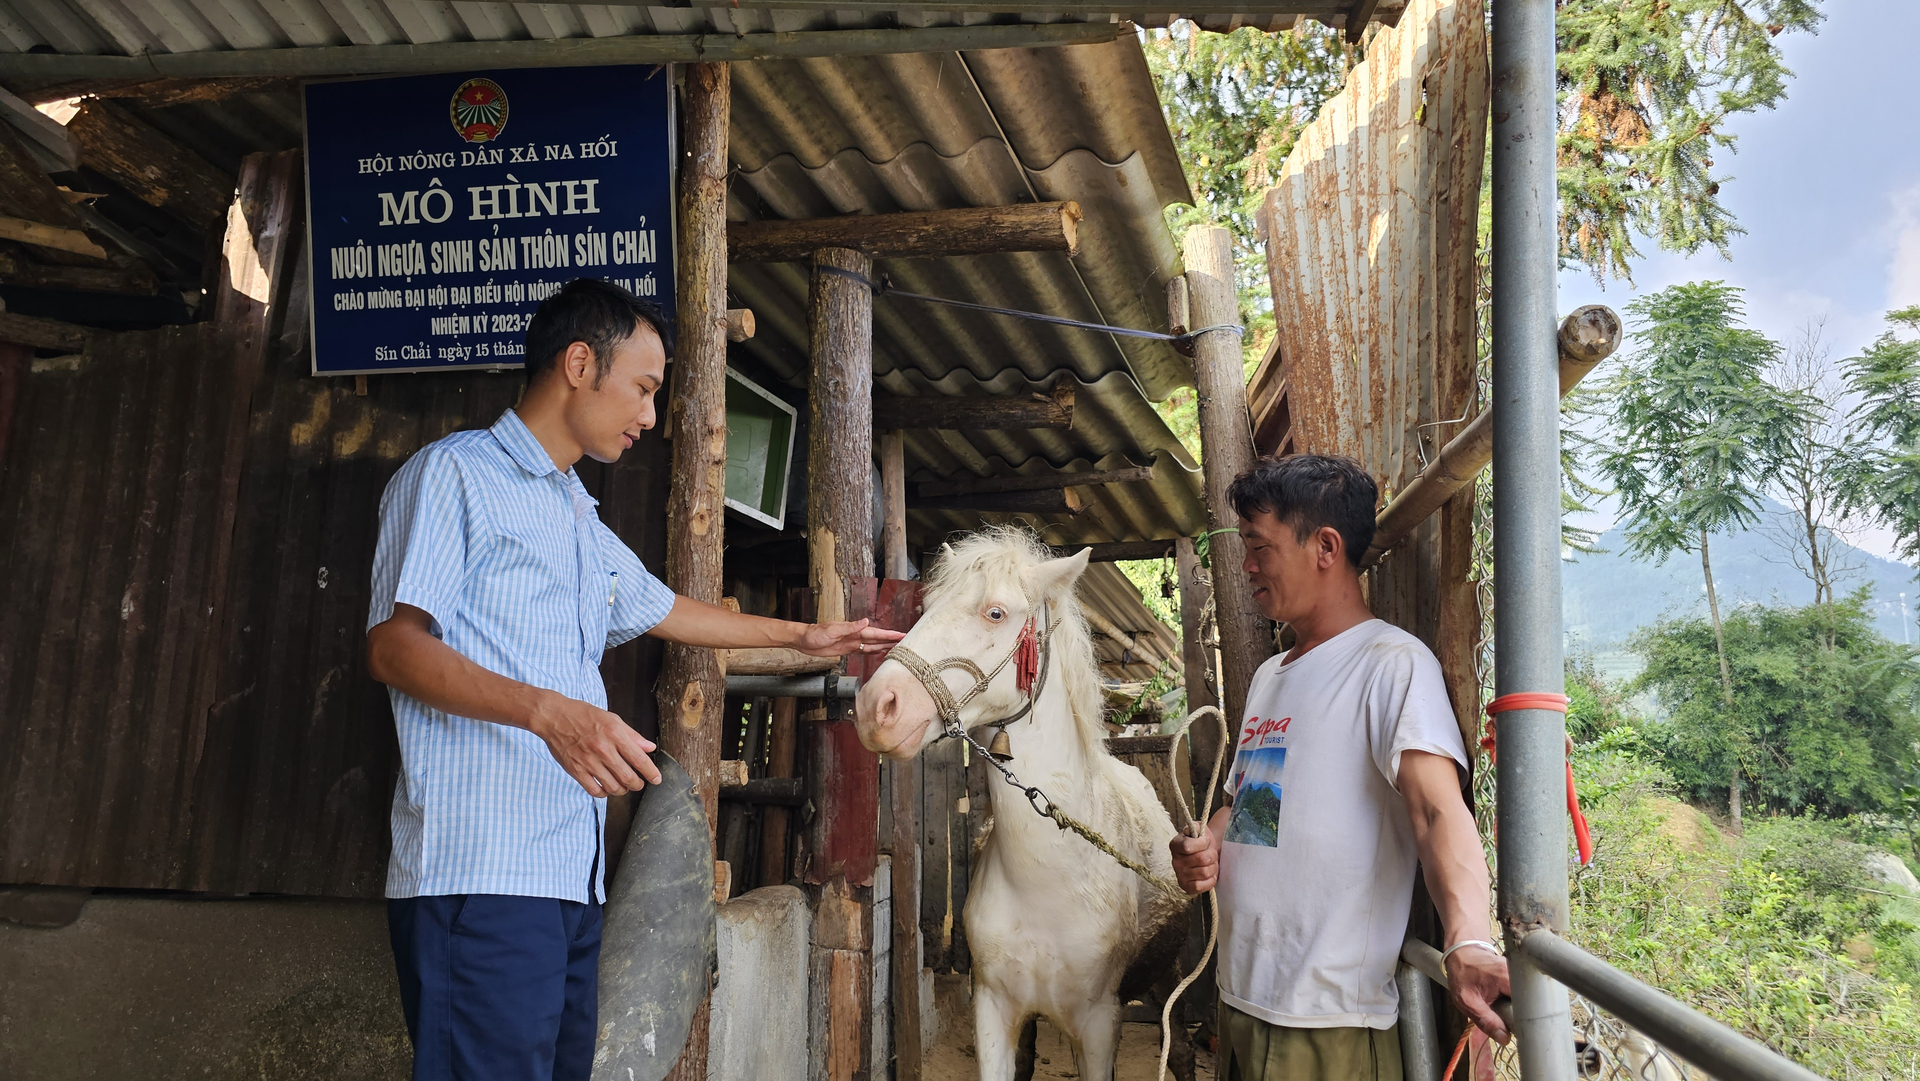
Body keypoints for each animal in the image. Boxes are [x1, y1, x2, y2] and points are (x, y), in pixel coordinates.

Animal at [852, 533, 1182, 1081]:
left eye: (996, 613)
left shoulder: (1100, 1025)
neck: (1052, 879)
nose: (876, 707)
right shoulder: (993, 1009)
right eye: (926, 606)